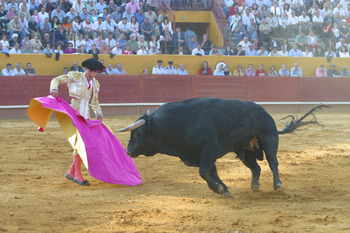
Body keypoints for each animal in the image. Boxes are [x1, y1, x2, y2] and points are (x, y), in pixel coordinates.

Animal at [118, 97, 328, 196]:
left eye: (137, 133)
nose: (128, 151)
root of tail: (265, 113)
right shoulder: (201, 155)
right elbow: (212, 173)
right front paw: (223, 188)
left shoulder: (208, 151)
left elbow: (204, 172)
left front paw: (219, 189)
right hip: (244, 150)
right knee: (256, 168)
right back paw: (254, 185)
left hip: (269, 139)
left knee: (272, 161)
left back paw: (277, 184)